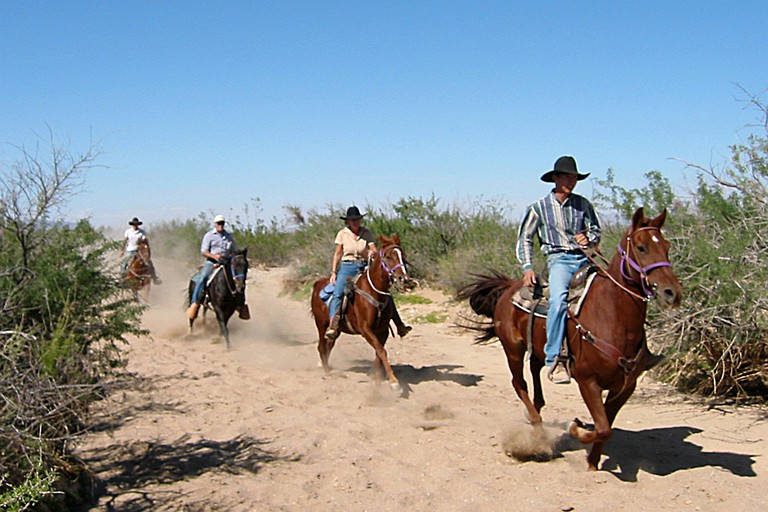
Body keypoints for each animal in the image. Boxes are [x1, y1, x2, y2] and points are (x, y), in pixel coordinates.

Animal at [310, 234, 412, 390]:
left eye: (403, 256)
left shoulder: (382, 330)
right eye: (388, 256)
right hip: (321, 324)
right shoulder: (365, 329)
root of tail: (317, 284)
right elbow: (381, 351)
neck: (373, 292)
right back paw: (327, 372)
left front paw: (377, 379)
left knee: (329, 345)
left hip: (336, 330)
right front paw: (394, 381)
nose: (404, 279)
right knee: (321, 347)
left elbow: (379, 354)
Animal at [460, 209, 680, 472]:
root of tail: (509, 287)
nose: (672, 293)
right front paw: (574, 427)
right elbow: (602, 427)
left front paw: (593, 463)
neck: (612, 317)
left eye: (666, 246)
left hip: (539, 348)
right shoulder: (588, 382)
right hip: (513, 349)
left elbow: (606, 427)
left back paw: (536, 410)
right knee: (518, 383)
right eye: (641, 247)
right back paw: (536, 426)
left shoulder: (625, 387)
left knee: (535, 370)